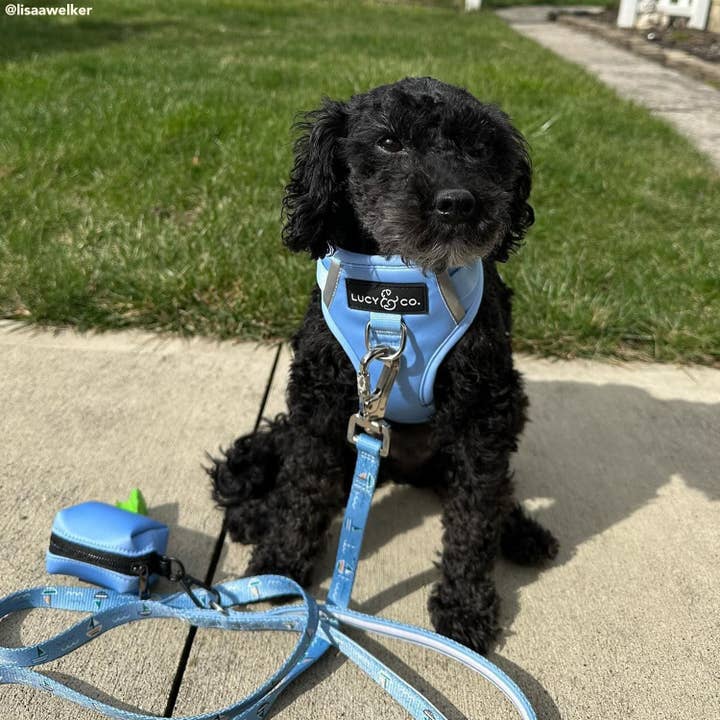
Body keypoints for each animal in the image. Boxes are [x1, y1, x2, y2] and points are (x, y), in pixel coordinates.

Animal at [208, 77, 556, 652]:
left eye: (479, 148)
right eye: (389, 142)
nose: (457, 203)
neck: (401, 289)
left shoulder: (484, 411)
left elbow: (474, 515)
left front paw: (465, 605)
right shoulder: (321, 400)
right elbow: (303, 486)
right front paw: (280, 565)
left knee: (493, 493)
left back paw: (522, 532)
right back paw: (256, 514)